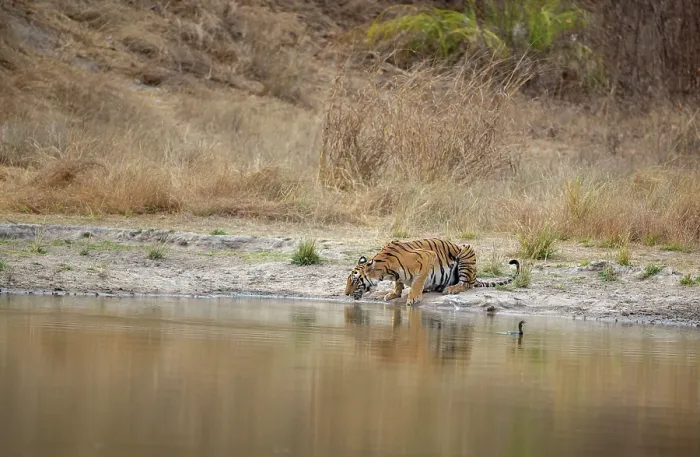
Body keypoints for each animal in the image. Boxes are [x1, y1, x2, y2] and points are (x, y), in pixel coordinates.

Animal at [344, 238, 520, 306]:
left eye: (354, 280)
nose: (345, 294)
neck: (385, 269)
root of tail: (476, 276)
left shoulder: (427, 256)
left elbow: (417, 281)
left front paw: (413, 298)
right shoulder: (398, 276)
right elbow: (398, 282)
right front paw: (394, 294)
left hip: (466, 251)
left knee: (466, 284)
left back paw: (451, 288)